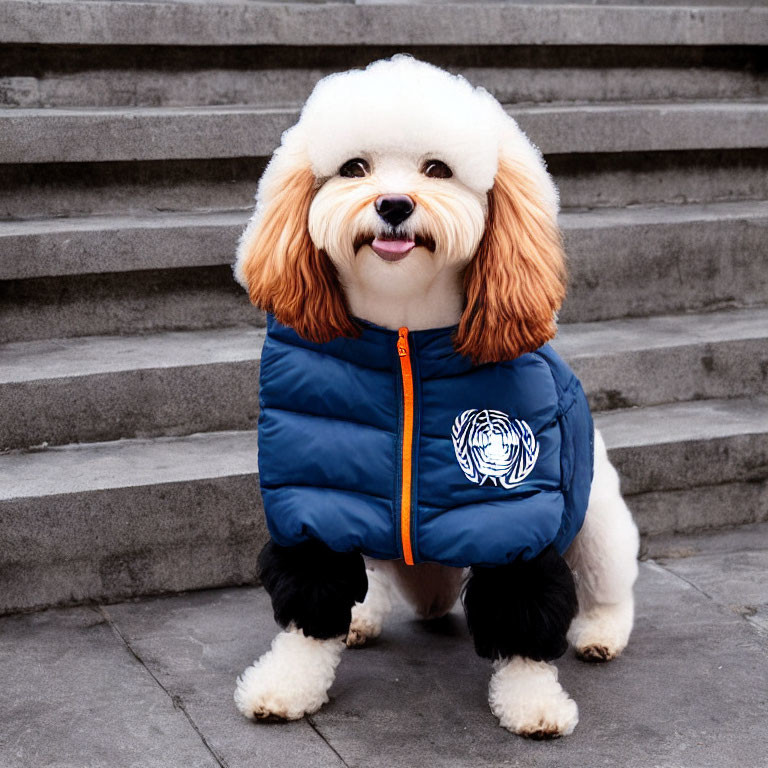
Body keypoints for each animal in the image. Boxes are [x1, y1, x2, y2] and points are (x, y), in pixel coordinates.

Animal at [231, 54, 640, 736]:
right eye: (354, 168)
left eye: (438, 169)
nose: (394, 203)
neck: (404, 336)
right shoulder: (315, 501)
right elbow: (310, 601)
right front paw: (287, 684)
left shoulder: (515, 515)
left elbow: (524, 605)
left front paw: (531, 701)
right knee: (374, 573)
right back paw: (364, 617)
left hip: (598, 519)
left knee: (608, 581)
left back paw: (600, 634)